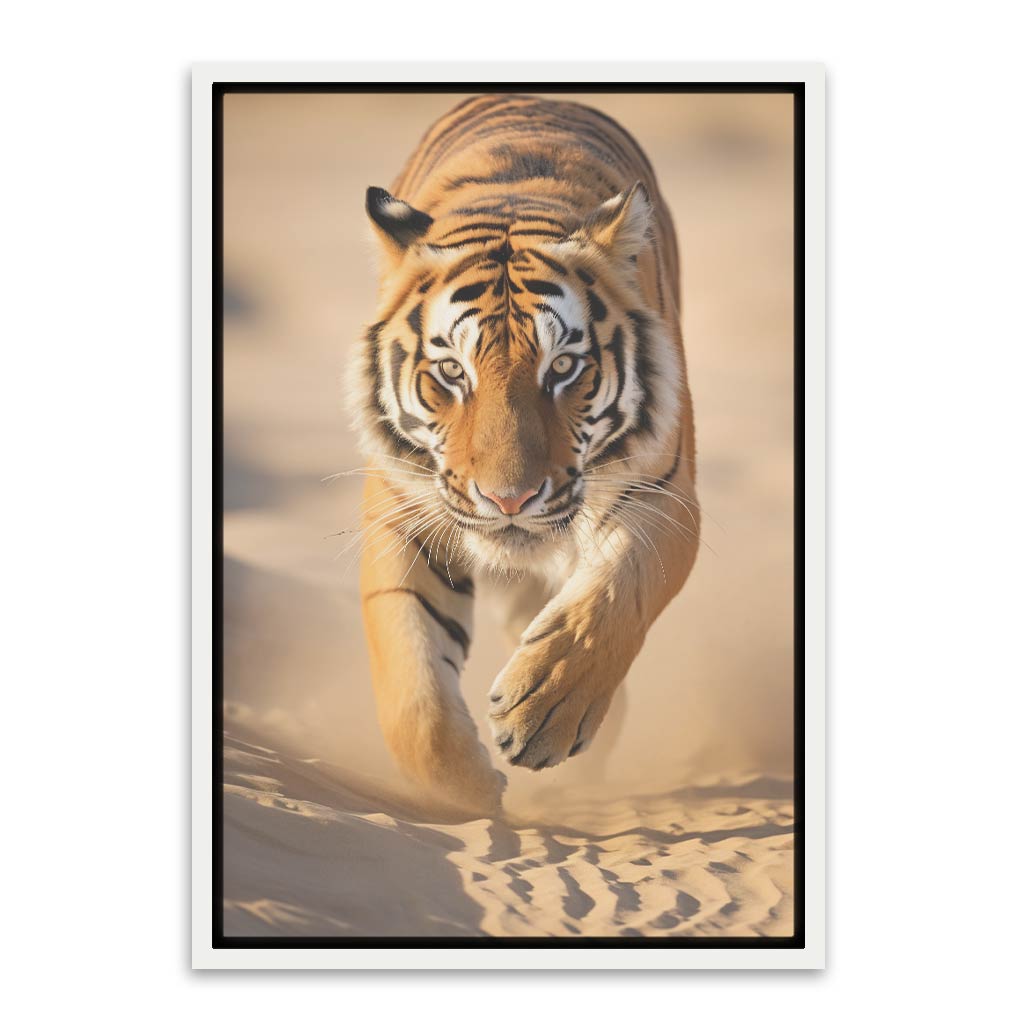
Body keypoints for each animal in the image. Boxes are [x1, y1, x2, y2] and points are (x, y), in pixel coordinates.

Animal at [348, 94, 699, 815]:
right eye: (452, 372)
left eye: (562, 367)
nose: (508, 499)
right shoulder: (402, 515)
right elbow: (412, 690)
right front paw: (472, 790)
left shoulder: (665, 495)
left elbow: (612, 597)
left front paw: (545, 712)